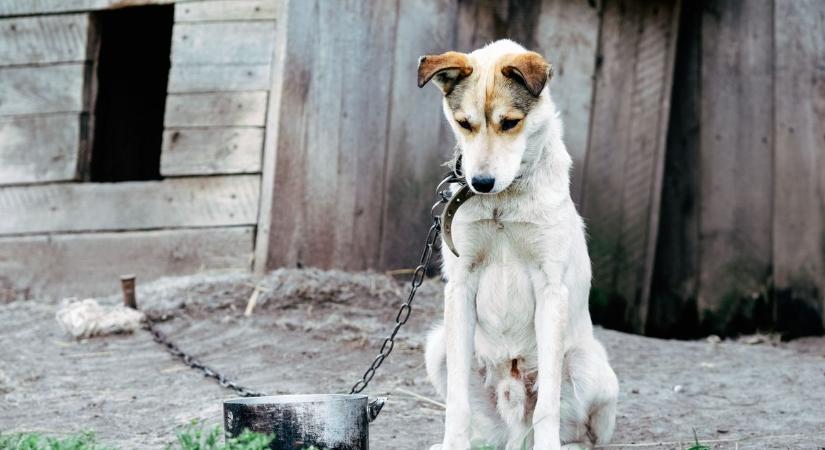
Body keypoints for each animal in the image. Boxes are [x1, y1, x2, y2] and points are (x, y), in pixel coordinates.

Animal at [418, 39, 616, 450]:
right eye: (464, 123)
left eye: (510, 123)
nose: (480, 183)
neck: (502, 203)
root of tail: (515, 433)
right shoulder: (459, 287)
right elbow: (457, 405)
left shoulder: (550, 288)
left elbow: (548, 405)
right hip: (438, 346)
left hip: (588, 365)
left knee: (580, 433)